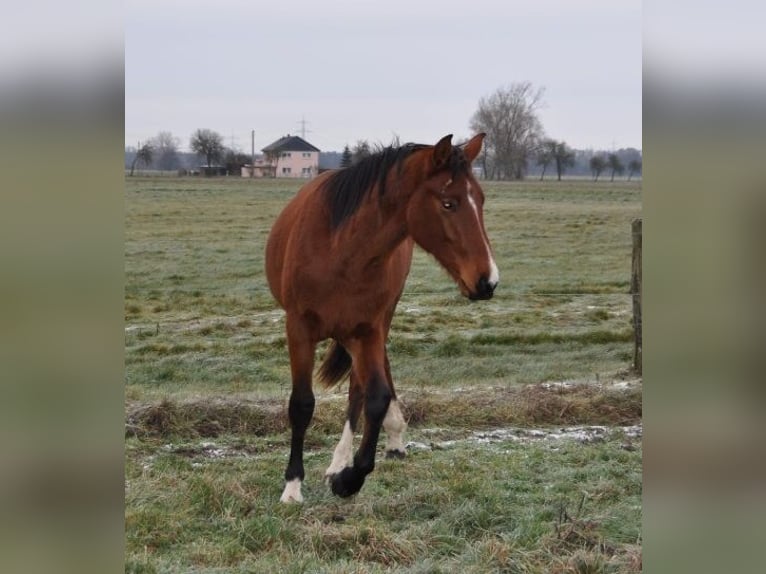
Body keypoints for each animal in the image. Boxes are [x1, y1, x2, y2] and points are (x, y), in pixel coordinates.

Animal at [268, 133, 500, 502]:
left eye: (479, 199)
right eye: (448, 203)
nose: (487, 281)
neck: (343, 252)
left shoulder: (368, 330)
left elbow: (373, 398)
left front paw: (348, 478)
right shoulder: (299, 329)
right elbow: (302, 404)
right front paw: (292, 486)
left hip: (375, 325)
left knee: (359, 389)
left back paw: (353, 455)